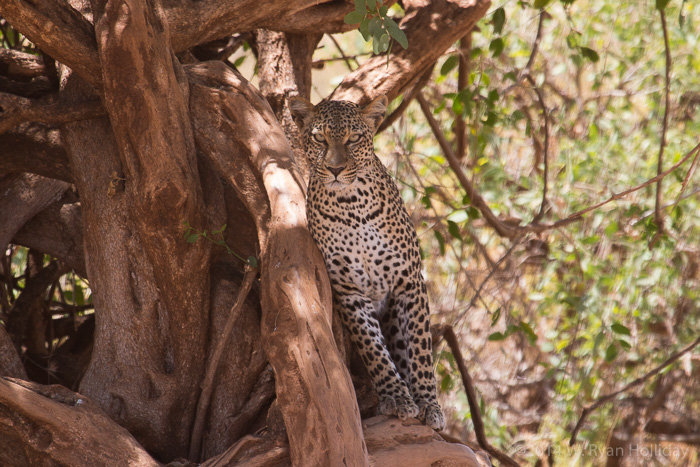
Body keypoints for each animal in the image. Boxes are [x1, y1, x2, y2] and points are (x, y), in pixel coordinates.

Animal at [288, 94, 442, 432]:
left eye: (354, 138)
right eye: (319, 138)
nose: (335, 169)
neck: (352, 205)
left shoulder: (410, 282)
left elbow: (421, 350)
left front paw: (429, 404)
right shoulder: (349, 291)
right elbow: (373, 349)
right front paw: (397, 397)